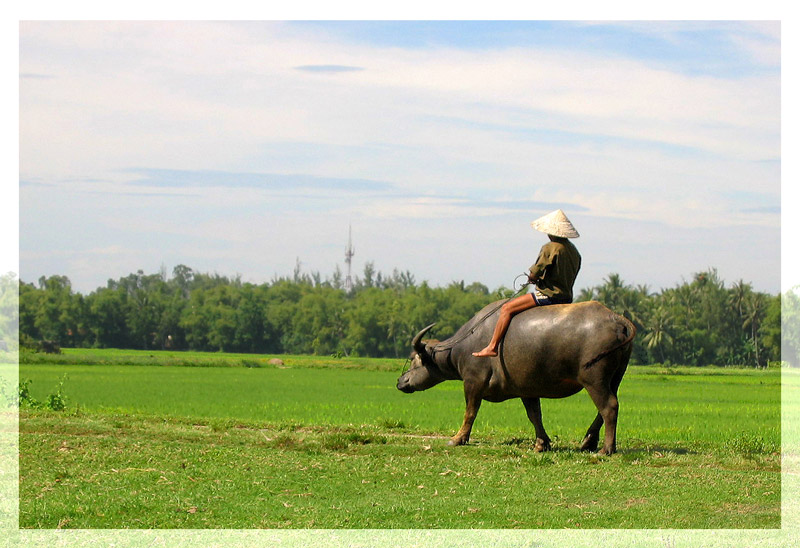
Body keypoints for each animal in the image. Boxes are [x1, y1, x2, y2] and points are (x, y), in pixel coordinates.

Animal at [398, 300, 636, 454]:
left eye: (412, 359)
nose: (400, 382)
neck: (463, 347)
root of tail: (617, 319)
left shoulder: (473, 382)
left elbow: (470, 412)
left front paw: (458, 439)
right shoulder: (526, 388)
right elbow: (534, 415)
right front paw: (542, 443)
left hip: (594, 379)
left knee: (609, 406)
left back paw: (606, 449)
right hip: (615, 376)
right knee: (607, 407)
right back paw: (588, 442)